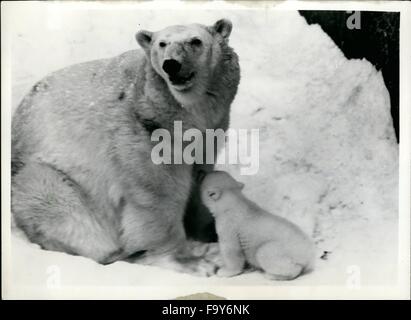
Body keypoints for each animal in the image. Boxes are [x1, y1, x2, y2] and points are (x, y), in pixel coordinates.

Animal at [12, 18, 241, 276]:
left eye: (196, 41)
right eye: (162, 43)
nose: (171, 65)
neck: (182, 111)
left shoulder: (211, 127)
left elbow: (199, 173)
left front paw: (208, 233)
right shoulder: (141, 127)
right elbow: (157, 191)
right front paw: (191, 262)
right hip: (45, 176)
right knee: (60, 205)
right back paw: (120, 253)